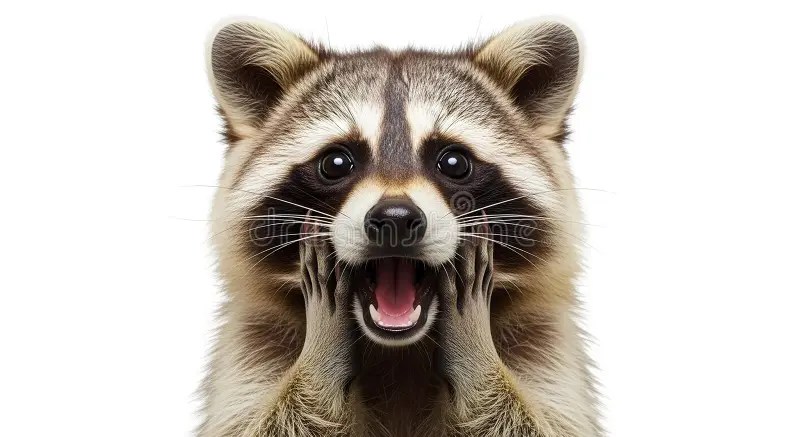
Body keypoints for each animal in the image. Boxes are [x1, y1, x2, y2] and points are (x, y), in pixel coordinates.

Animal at [199, 18, 601, 437]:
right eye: (336, 163)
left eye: (454, 162)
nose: (395, 219)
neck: (399, 349)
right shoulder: (255, 346)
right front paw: (323, 343)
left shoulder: (543, 345)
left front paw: (472, 342)